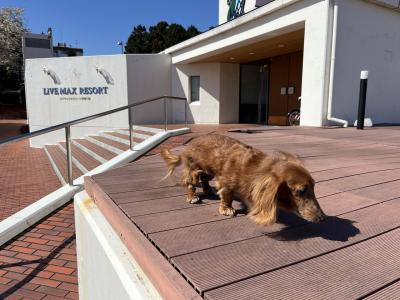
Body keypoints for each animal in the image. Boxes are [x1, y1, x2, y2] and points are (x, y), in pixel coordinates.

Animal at [160, 134, 324, 225]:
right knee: (190, 183)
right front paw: (227, 209)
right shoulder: (225, 183)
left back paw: (207, 190)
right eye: (301, 191)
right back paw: (192, 197)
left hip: (209, 172)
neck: (257, 169)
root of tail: (188, 146)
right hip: (194, 170)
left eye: (314, 187)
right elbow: (227, 197)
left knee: (204, 178)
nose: (322, 218)